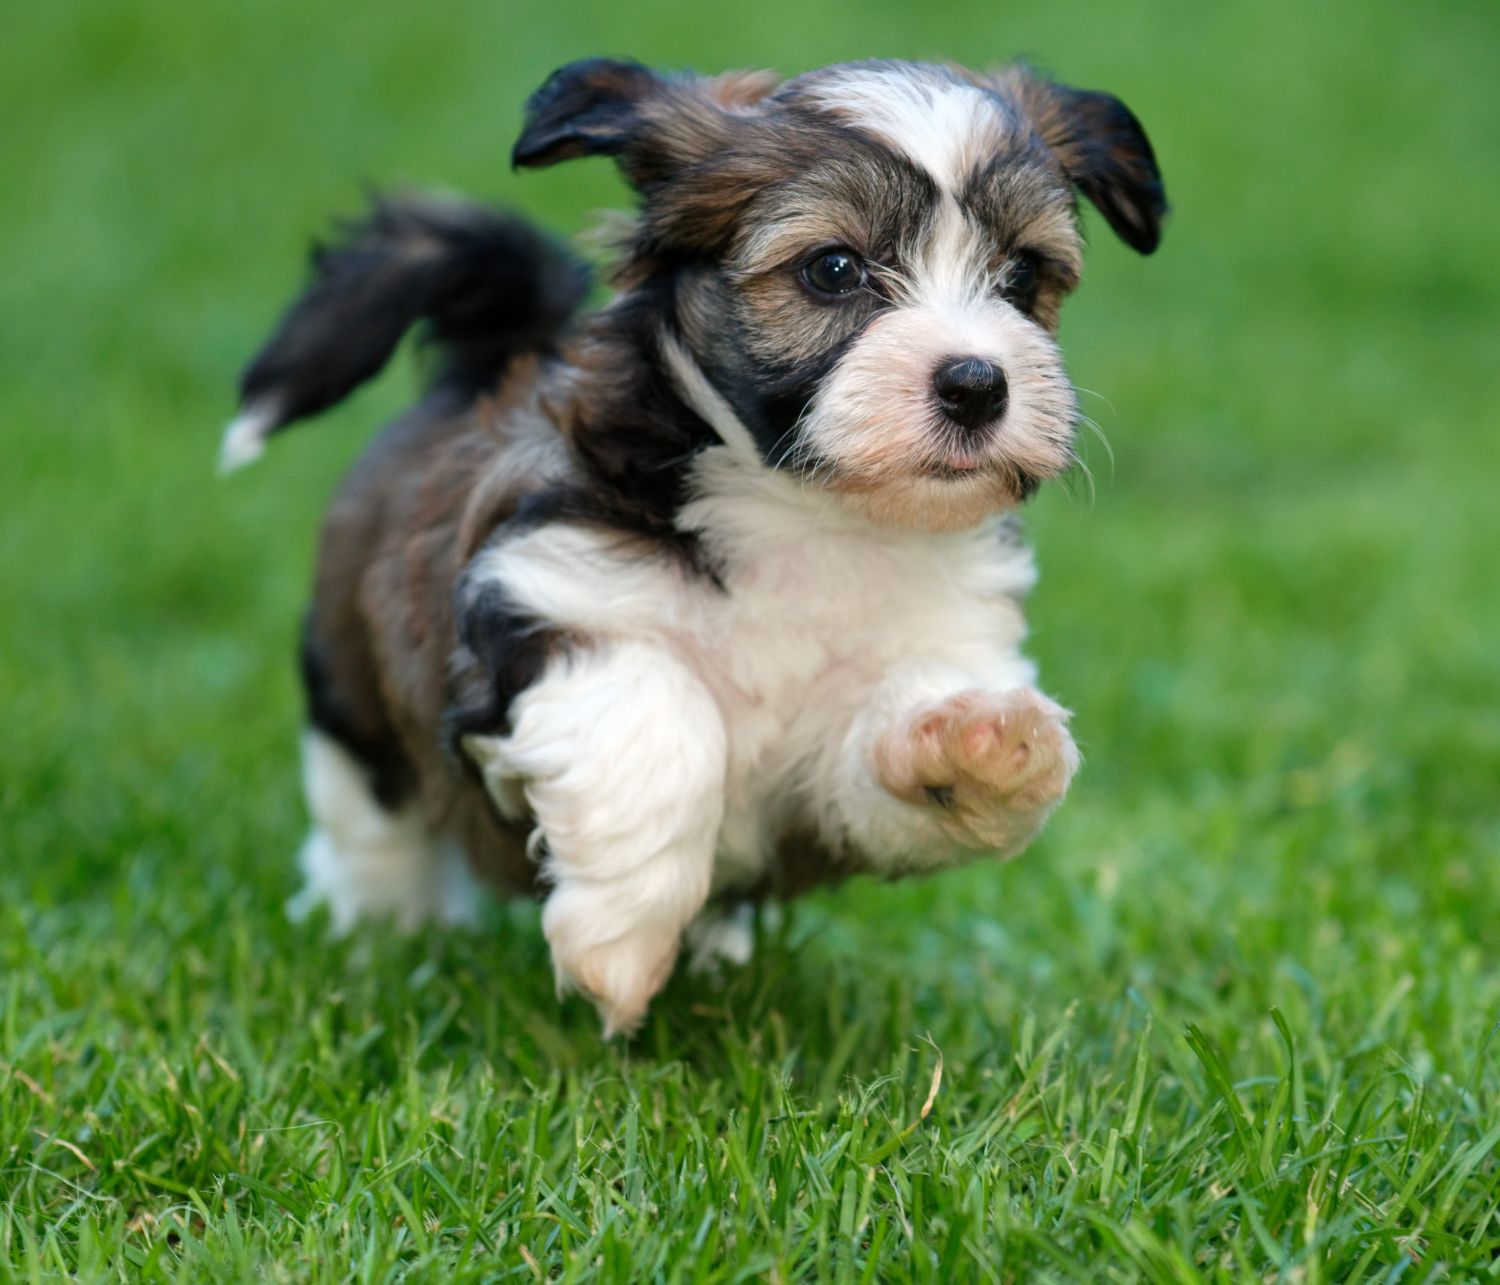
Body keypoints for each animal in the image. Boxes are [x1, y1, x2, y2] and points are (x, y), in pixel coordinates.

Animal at [222, 55, 1164, 1031]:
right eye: (833, 269)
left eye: (1021, 275)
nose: (978, 383)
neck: (808, 513)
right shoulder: (547, 588)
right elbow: (661, 715)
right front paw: (620, 942)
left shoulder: (836, 775)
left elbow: (885, 766)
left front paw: (978, 741)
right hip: (354, 694)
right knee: (370, 812)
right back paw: (379, 929)